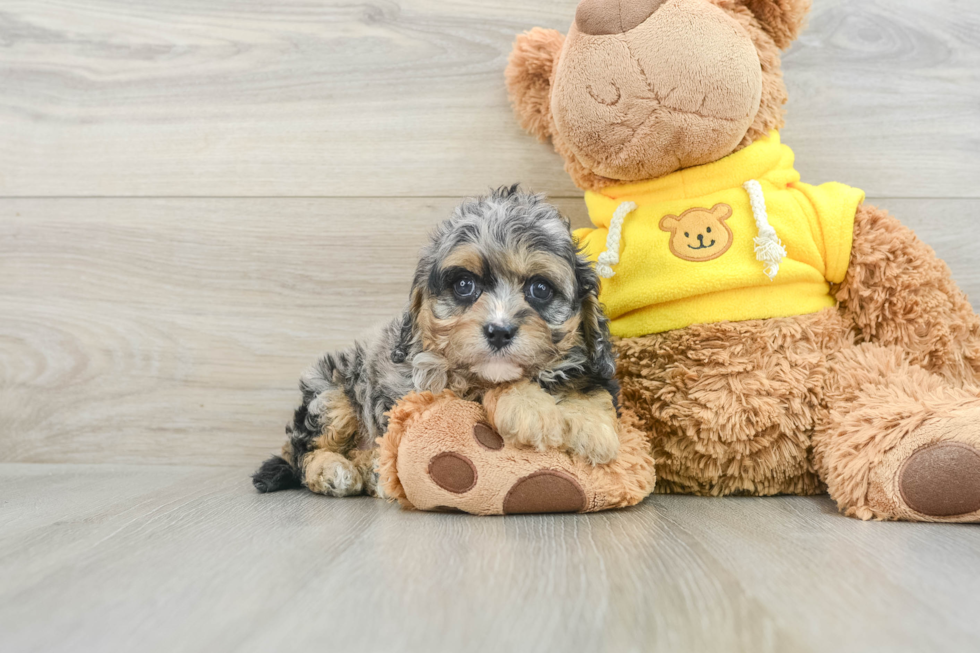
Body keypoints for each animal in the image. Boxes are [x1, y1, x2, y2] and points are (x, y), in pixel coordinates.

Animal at [253, 186, 620, 496]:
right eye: (464, 285)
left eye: (540, 288)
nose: (499, 332)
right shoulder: (435, 385)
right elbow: (490, 386)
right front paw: (532, 410)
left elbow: (588, 385)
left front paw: (594, 428)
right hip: (330, 394)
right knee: (303, 451)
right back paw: (334, 471)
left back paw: (372, 469)